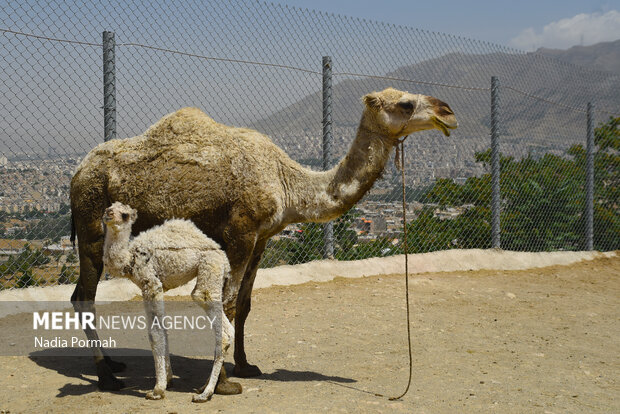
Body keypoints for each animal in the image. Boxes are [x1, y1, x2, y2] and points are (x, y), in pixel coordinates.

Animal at [101, 202, 235, 402]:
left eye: (124, 215)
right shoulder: (157, 288)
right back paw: (203, 388)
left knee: (216, 319)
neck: (129, 259)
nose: (108, 215)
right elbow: (164, 330)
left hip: (210, 268)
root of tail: (223, 258)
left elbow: (154, 334)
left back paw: (205, 394)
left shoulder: (151, 285)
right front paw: (168, 380)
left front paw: (157, 390)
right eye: (108, 208)